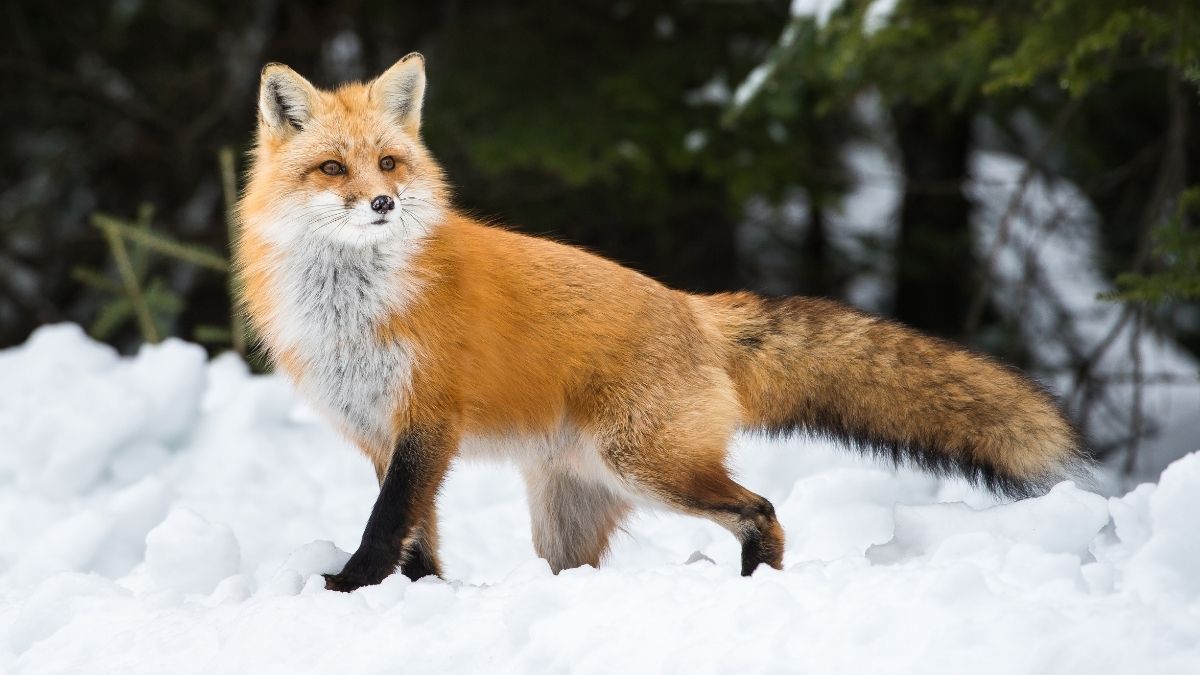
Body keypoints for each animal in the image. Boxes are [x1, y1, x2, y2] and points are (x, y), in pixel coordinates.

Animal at [236, 53, 1090, 592]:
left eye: (388, 163)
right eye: (332, 168)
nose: (383, 202)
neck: (354, 306)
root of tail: (692, 306)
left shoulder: (427, 421)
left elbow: (388, 525)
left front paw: (350, 586)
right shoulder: (381, 433)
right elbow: (417, 536)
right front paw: (418, 594)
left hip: (648, 465)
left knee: (762, 511)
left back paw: (756, 586)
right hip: (571, 511)